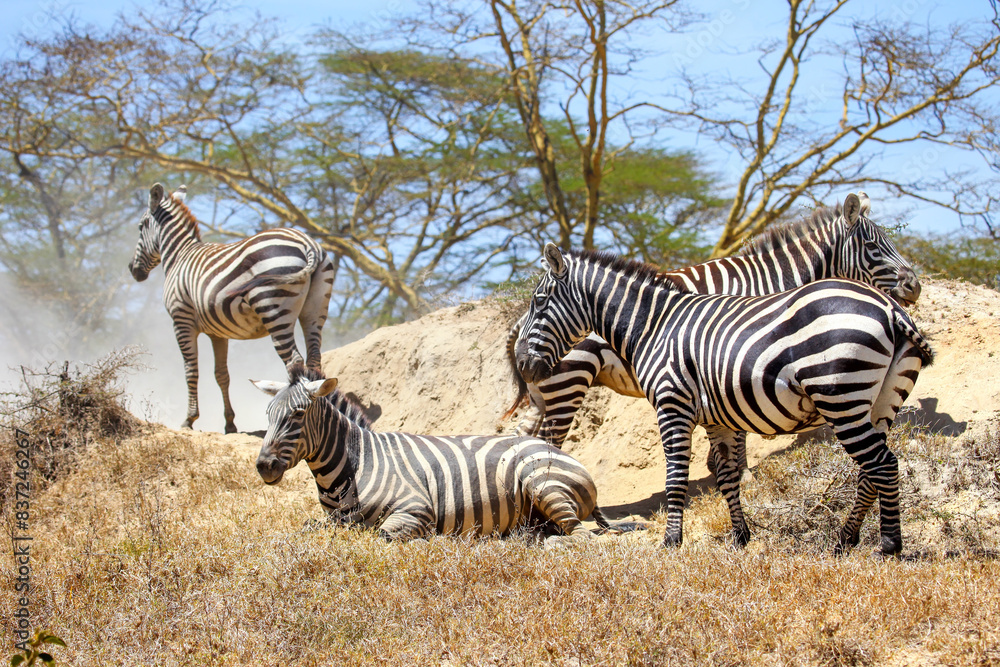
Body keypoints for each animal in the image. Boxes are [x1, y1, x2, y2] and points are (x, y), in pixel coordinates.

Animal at [128, 183, 335, 434]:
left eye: (140, 227)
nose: (132, 270)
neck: (179, 256)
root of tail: (307, 243)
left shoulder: (181, 319)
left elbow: (191, 370)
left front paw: (189, 419)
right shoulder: (218, 333)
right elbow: (222, 375)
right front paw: (230, 424)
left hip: (273, 309)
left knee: (294, 361)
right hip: (315, 310)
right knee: (314, 358)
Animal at [251, 366, 600, 544]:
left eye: (297, 415)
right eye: (267, 415)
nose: (264, 467)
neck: (354, 464)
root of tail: (552, 448)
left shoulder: (415, 509)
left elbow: (379, 536)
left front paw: (431, 541)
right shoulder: (333, 520)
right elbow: (300, 530)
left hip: (542, 482)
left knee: (580, 536)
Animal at [505, 192, 921, 477]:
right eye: (874, 247)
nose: (914, 286)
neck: (766, 281)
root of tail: (517, 326)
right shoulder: (737, 358)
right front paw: (739, 471)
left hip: (544, 391)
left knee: (524, 438)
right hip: (568, 382)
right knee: (551, 442)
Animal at [515, 244, 933, 555]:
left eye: (539, 301)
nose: (522, 363)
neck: (654, 325)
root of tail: (890, 306)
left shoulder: (672, 405)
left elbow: (676, 478)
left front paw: (671, 542)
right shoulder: (718, 419)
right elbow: (728, 477)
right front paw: (740, 537)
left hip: (841, 397)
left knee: (882, 465)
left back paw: (888, 546)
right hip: (881, 402)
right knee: (870, 470)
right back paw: (846, 541)